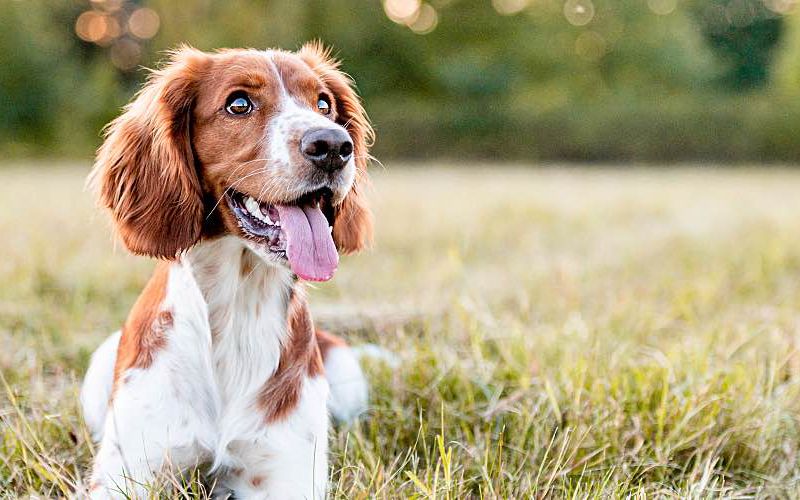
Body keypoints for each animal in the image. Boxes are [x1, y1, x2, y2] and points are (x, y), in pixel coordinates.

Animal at [78, 45, 372, 498]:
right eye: (239, 104)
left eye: (324, 104)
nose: (333, 145)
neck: (239, 307)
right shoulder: (126, 474)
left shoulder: (286, 476)